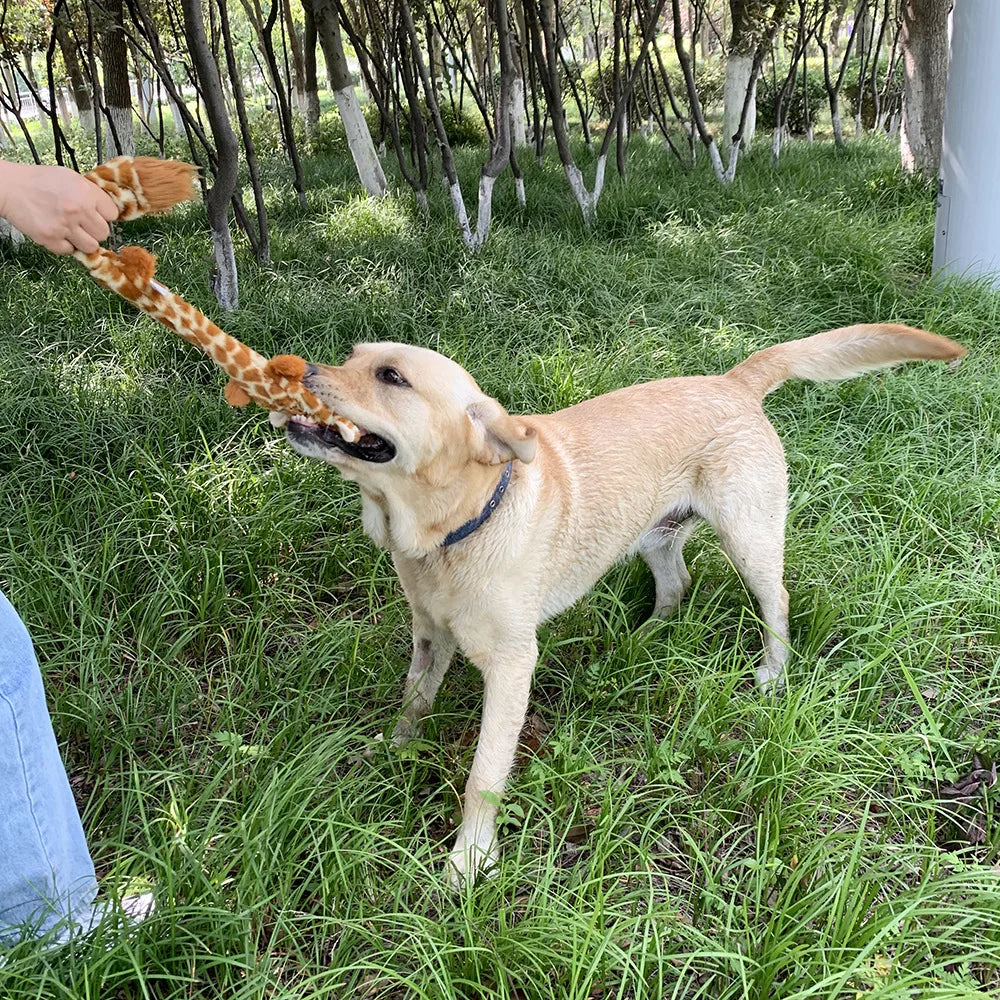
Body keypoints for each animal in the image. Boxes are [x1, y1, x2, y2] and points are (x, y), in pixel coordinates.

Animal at [282, 326, 960, 884]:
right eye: (351, 357)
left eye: (391, 376)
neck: (457, 527)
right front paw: (392, 753)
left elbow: (483, 777)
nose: (296, 369)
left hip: (750, 540)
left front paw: (470, 860)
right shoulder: (430, 635)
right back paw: (644, 639)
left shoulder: (512, 666)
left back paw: (772, 670)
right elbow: (413, 703)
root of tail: (734, 381)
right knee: (677, 583)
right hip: (656, 536)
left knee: (777, 605)